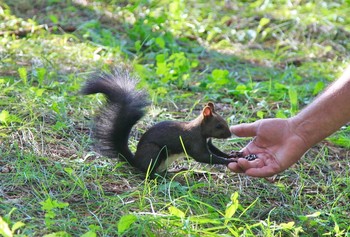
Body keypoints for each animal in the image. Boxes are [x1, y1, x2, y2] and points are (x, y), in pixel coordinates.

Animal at [81, 67, 241, 177]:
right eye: (219, 126)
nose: (229, 135)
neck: (200, 130)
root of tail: (135, 161)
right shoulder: (194, 142)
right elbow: (204, 157)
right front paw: (227, 161)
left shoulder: (208, 142)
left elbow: (215, 151)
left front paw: (233, 155)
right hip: (154, 152)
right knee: (149, 173)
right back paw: (162, 176)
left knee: (159, 171)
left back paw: (174, 171)